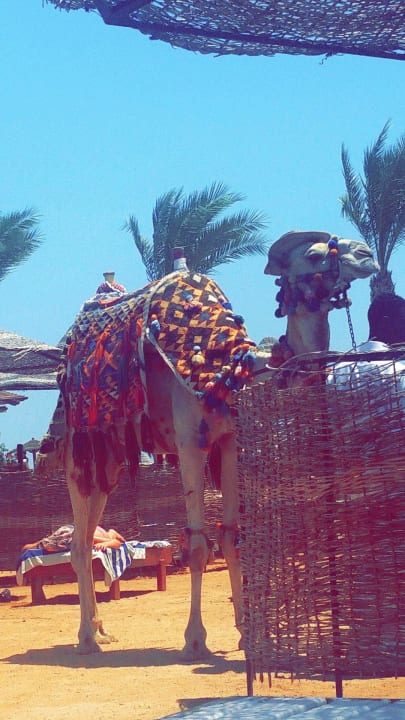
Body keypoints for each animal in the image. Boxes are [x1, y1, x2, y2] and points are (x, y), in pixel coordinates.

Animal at [37, 230, 377, 658]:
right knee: (80, 545)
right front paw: (195, 639)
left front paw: (246, 633)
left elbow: (232, 537)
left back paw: (101, 630)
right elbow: (198, 546)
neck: (229, 370)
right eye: (315, 255)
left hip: (110, 460)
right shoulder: (189, 443)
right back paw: (86, 639)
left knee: (87, 535)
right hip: (79, 454)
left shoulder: (229, 441)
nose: (367, 255)